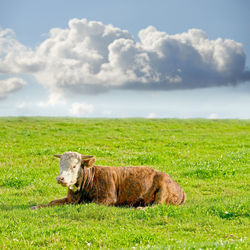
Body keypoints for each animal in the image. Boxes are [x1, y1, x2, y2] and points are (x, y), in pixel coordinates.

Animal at [30, 152, 186, 209]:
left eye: (74, 166)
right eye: (60, 165)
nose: (60, 178)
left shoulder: (107, 198)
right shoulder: (71, 199)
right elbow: (52, 202)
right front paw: (36, 206)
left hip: (162, 188)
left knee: (157, 205)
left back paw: (140, 208)